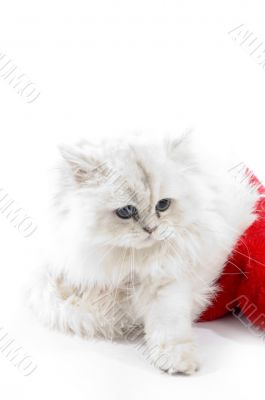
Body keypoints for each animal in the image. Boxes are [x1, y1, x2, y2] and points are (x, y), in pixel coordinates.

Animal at [27, 134, 258, 376]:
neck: (133, 260)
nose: (151, 229)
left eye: (163, 205)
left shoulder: (169, 280)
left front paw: (177, 359)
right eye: (126, 211)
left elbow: (169, 325)